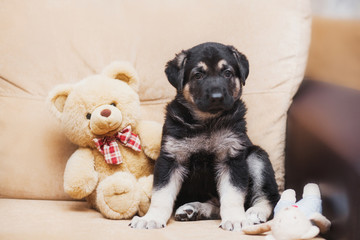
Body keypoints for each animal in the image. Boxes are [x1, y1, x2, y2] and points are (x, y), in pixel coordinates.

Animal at [131, 42, 280, 231]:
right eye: (198, 75)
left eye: (227, 73)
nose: (217, 97)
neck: (206, 122)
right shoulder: (170, 159)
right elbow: (161, 194)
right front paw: (151, 218)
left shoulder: (232, 158)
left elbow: (232, 195)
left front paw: (235, 219)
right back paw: (194, 210)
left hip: (257, 157)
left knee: (269, 197)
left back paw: (254, 212)